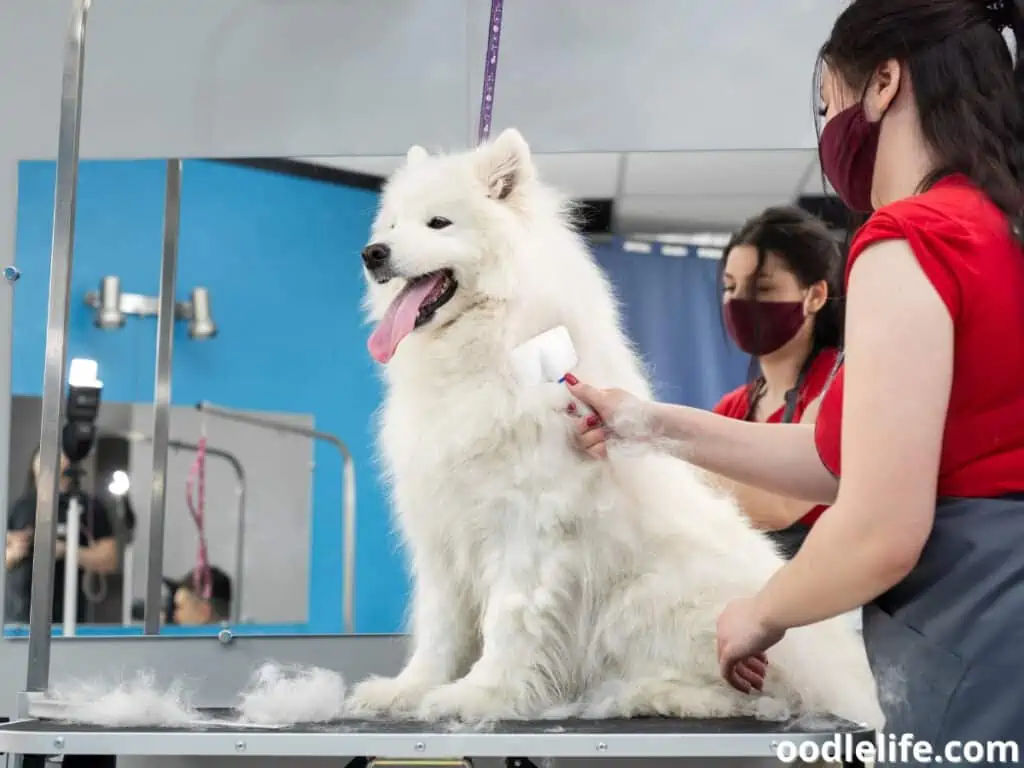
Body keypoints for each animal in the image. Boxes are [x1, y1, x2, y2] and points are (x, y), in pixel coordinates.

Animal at [342, 128, 880, 729]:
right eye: (391, 225)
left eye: (439, 223)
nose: (372, 254)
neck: (486, 356)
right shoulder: (440, 535)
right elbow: (439, 627)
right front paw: (407, 690)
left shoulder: (525, 530)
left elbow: (509, 620)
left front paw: (479, 696)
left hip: (650, 601)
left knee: (759, 694)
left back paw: (645, 694)